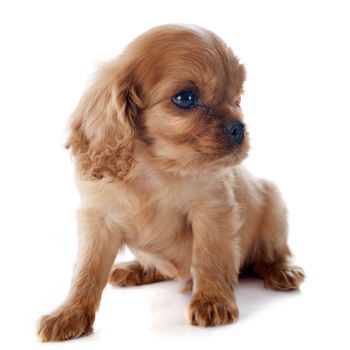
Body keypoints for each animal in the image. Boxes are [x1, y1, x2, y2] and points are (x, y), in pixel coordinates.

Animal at [37, 25, 304, 342]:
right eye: (185, 98)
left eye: (237, 98)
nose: (239, 128)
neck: (154, 167)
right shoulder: (97, 220)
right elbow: (86, 271)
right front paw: (70, 314)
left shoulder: (212, 210)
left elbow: (209, 256)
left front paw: (212, 300)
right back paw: (137, 270)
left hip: (274, 206)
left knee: (273, 254)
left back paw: (282, 271)